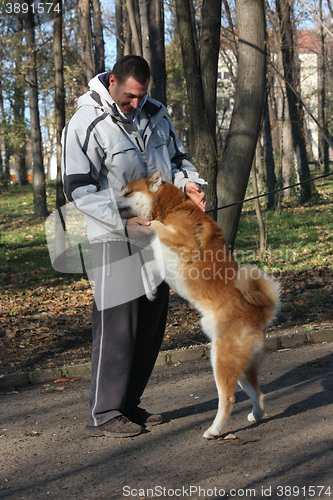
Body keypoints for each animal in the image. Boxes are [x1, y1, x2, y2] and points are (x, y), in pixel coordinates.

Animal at [117, 171, 280, 438]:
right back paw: (255, 416)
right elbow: (145, 268)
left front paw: (152, 225)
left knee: (228, 399)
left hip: (221, 361)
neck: (172, 208)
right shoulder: (161, 262)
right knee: (260, 395)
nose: (110, 201)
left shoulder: (181, 241)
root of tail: (257, 314)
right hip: (240, 367)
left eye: (127, 192)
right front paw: (150, 292)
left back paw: (214, 430)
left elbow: (156, 227)